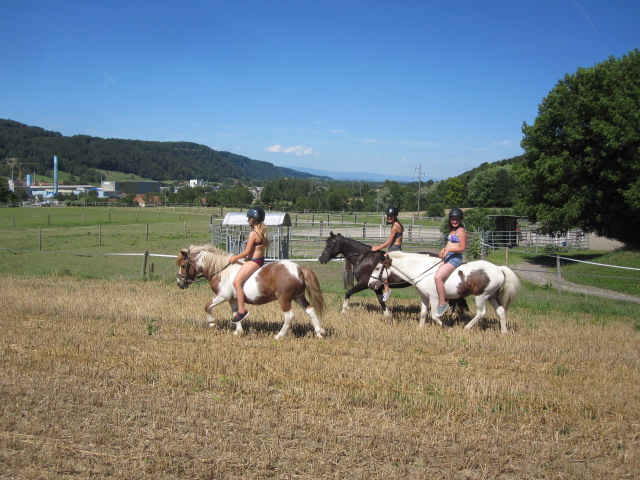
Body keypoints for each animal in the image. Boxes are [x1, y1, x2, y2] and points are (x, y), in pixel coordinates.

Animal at [176, 244, 324, 342]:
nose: (180, 283)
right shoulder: (233, 300)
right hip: (298, 296)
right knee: (310, 310)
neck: (221, 270)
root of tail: (299, 269)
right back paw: (319, 333)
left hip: (284, 299)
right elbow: (236, 314)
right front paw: (238, 332)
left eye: (183, 266)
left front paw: (212, 323)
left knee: (289, 316)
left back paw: (279, 335)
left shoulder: (222, 296)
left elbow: (207, 306)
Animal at [318, 232, 468, 318]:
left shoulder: (364, 284)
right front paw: (387, 314)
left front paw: (344, 310)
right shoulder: (376, 286)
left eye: (329, 244)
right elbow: (381, 300)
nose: (321, 259)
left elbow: (348, 292)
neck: (363, 258)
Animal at [368, 251, 524, 334]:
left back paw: (466, 328)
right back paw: (504, 332)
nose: (370, 284)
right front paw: (420, 328)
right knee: (501, 311)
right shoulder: (424, 297)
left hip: (481, 296)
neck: (421, 270)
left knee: (481, 313)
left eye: (377, 268)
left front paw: (447, 328)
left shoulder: (435, 298)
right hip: (492, 296)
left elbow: (434, 316)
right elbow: (423, 313)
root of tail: (498, 268)